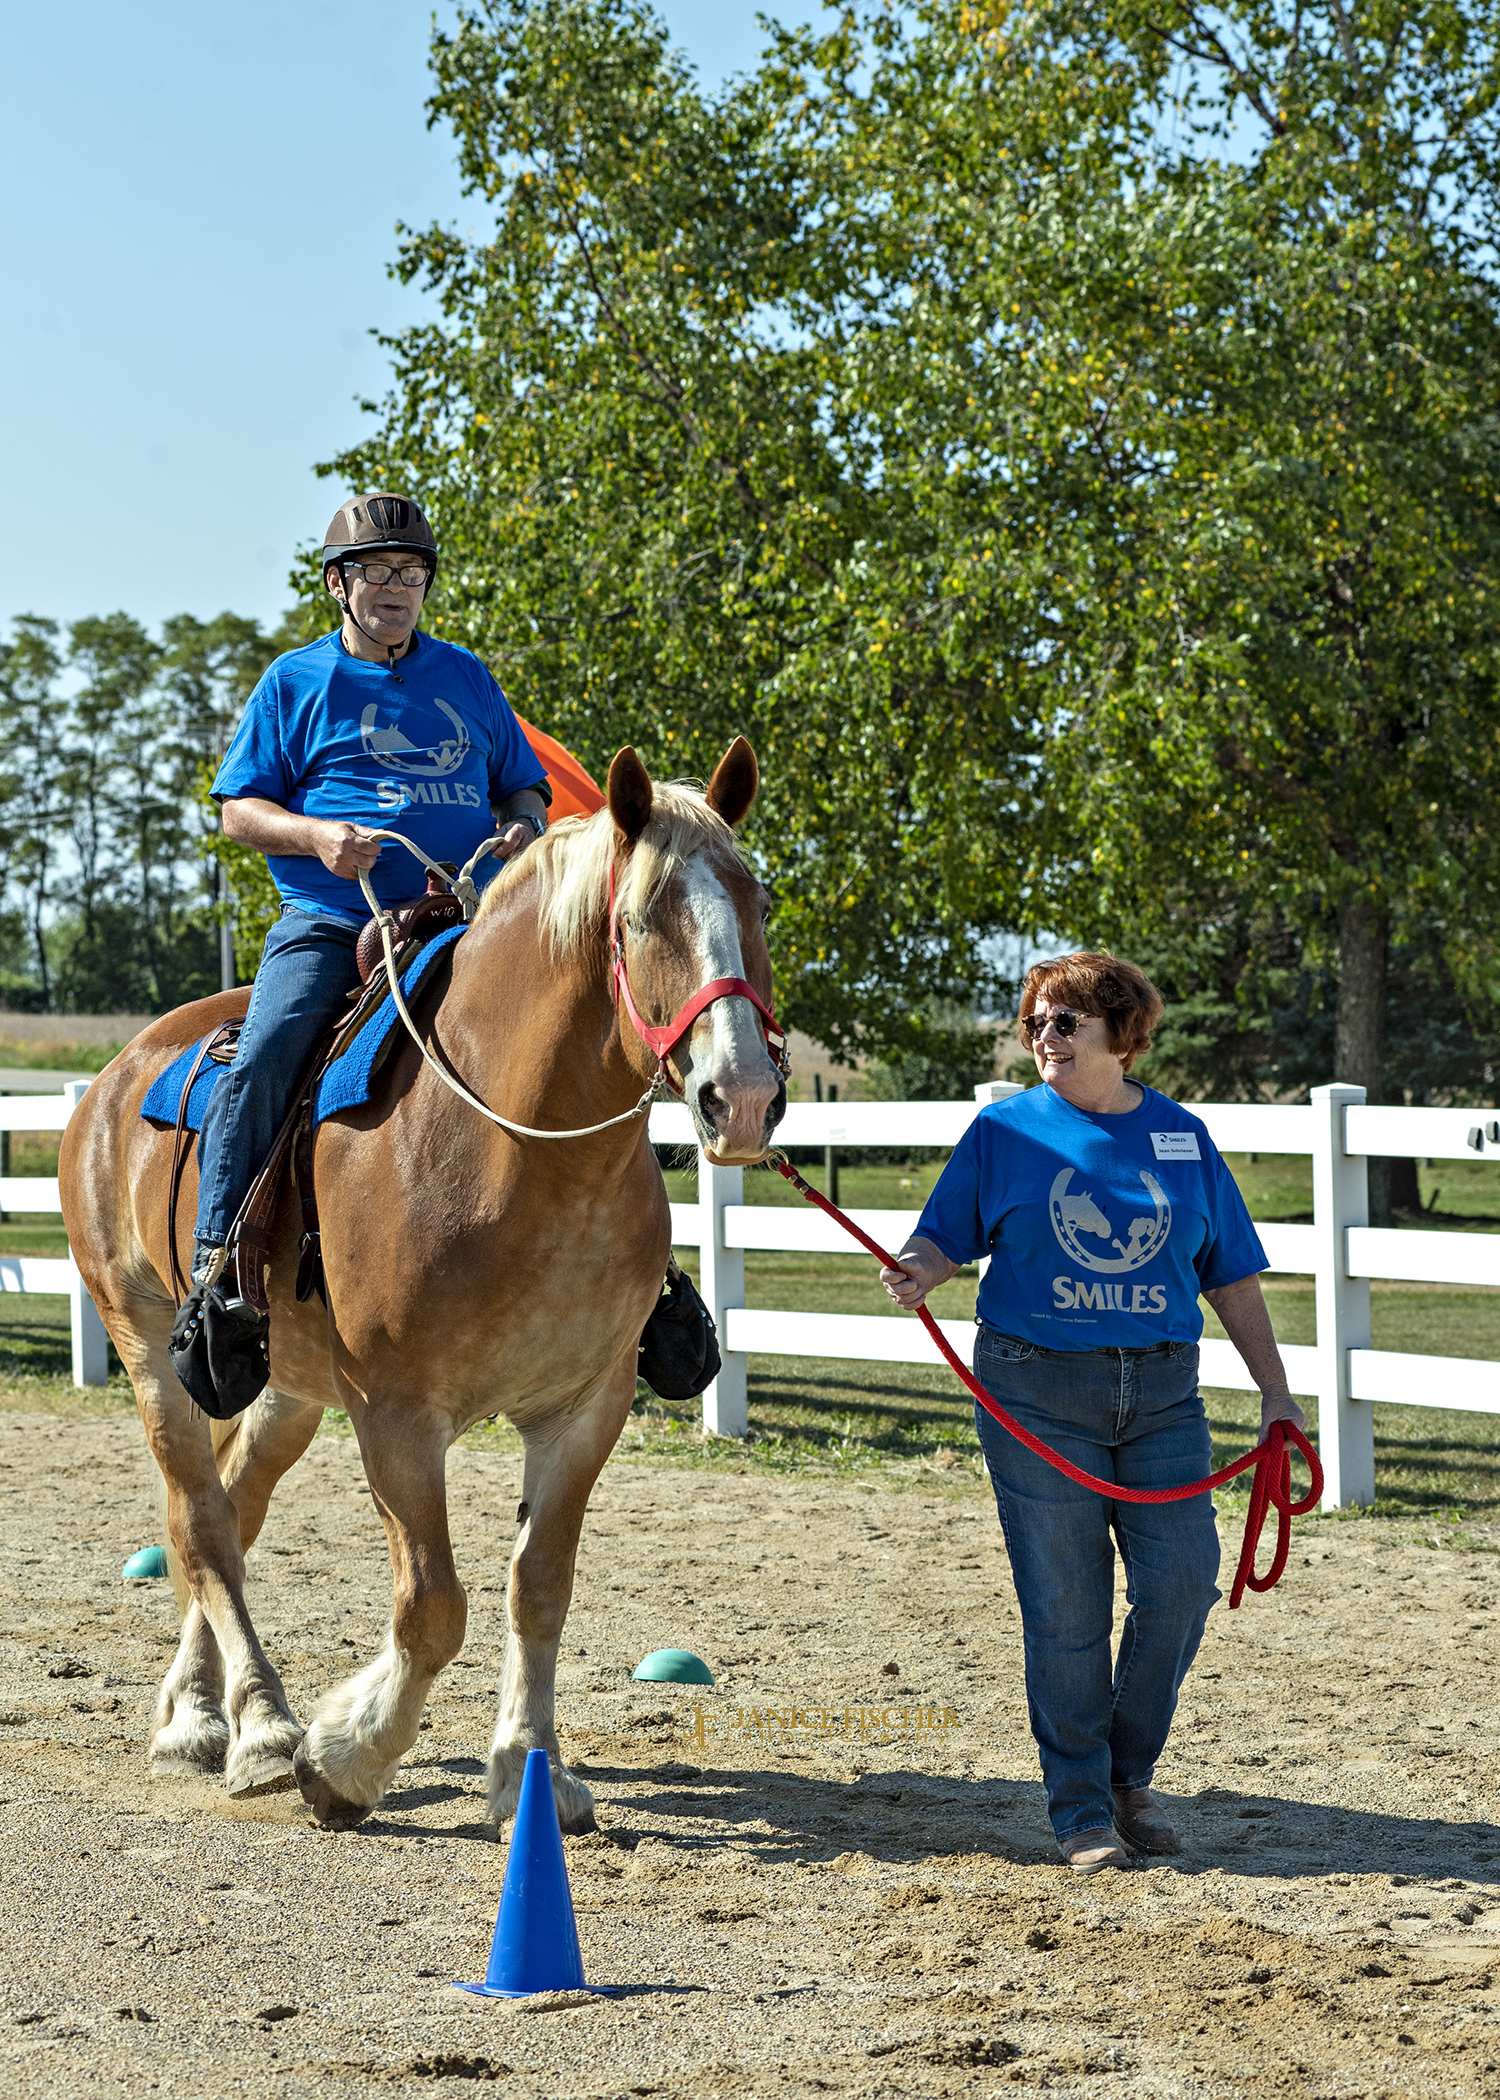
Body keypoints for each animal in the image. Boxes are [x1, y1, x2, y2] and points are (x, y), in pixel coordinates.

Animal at [58, 739, 784, 1831]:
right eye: (640, 918)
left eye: (756, 900)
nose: (739, 1097)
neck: (514, 1150)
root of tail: (108, 1081)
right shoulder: (397, 1415)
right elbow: (434, 1604)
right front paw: (346, 1756)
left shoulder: (585, 1409)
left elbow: (540, 1586)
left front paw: (531, 1770)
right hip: (149, 1347)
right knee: (201, 1523)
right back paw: (259, 1727)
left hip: (286, 1387)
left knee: (232, 1508)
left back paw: (197, 1710)